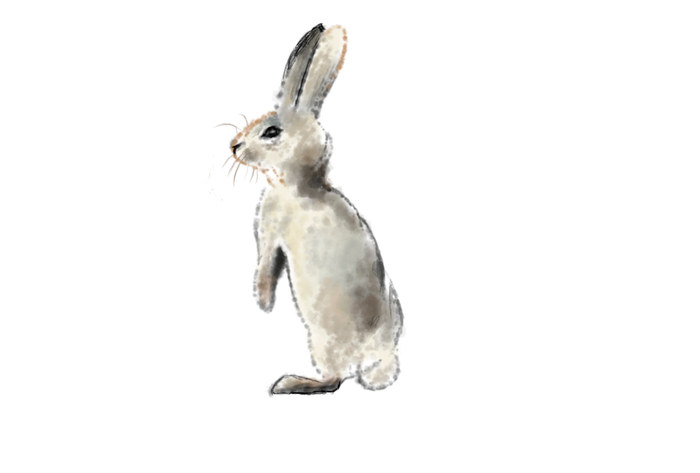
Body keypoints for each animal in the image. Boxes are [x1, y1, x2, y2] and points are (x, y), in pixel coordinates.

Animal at [227, 24, 403, 394]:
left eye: (271, 131)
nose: (234, 146)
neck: (301, 186)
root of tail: (377, 357)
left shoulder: (269, 231)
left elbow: (265, 264)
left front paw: (263, 302)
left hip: (321, 342)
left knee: (334, 381)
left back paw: (288, 383)